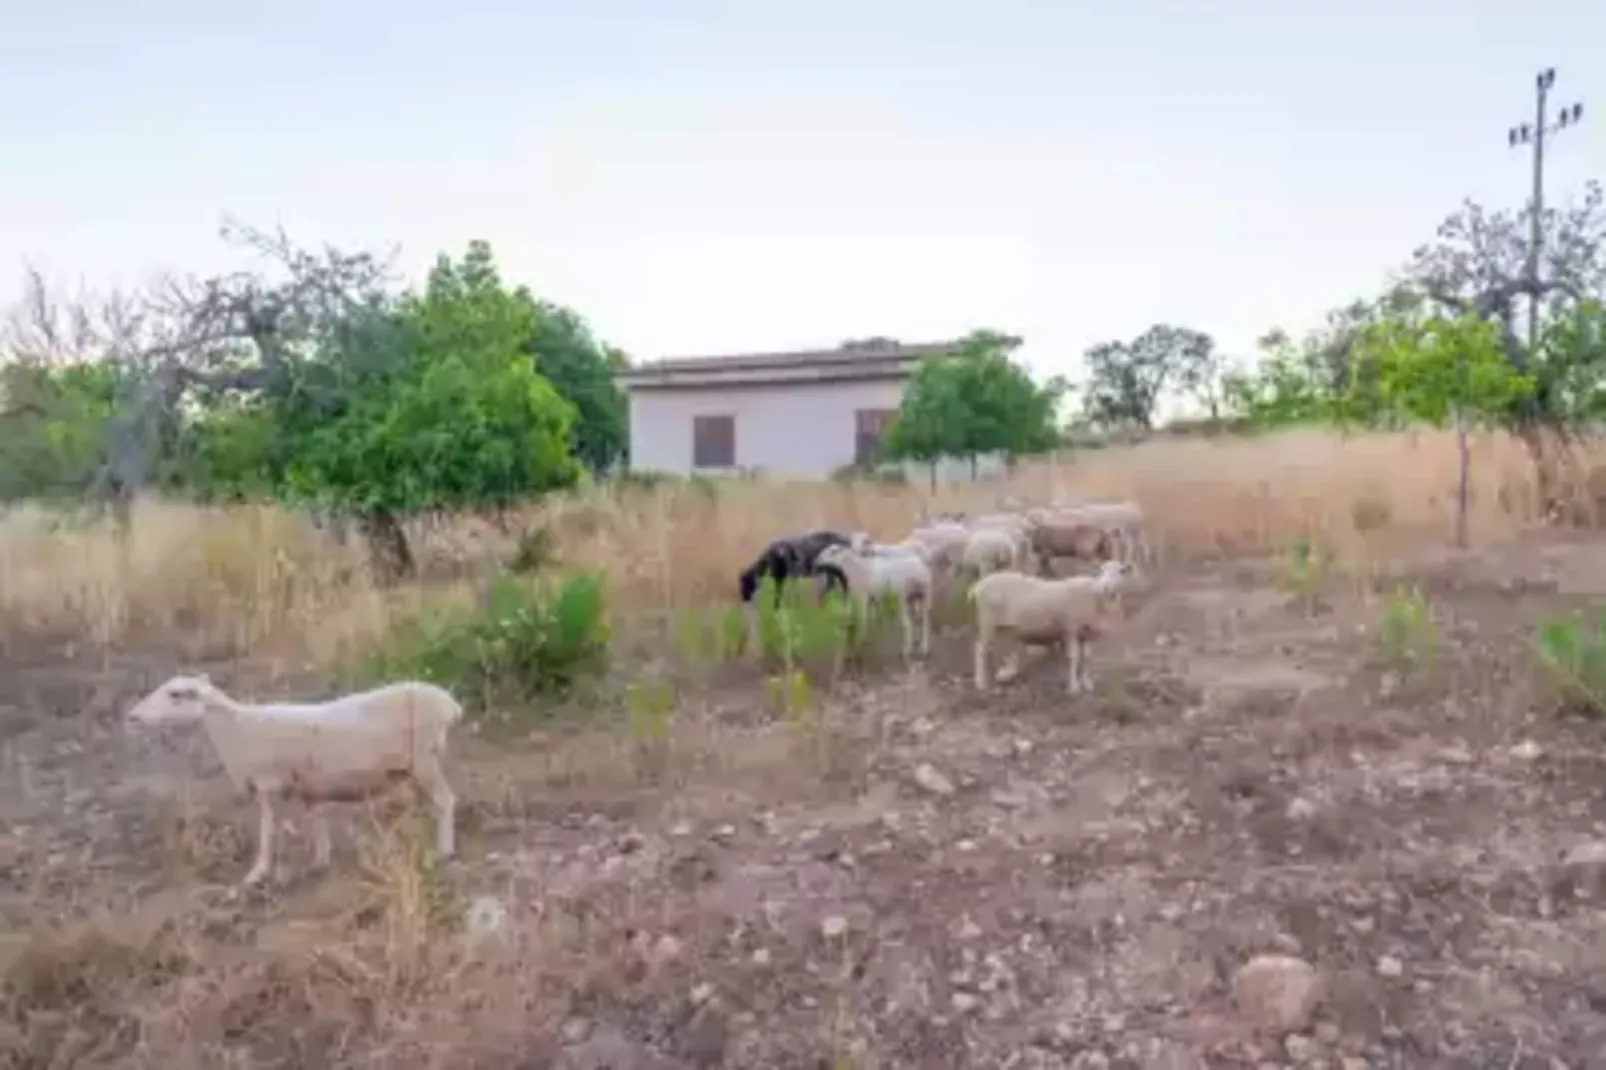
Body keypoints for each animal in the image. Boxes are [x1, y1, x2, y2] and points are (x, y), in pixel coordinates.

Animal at [125, 674, 465, 880]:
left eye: (175, 694)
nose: (132, 716)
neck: (237, 728)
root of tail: (450, 704)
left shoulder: (268, 784)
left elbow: (267, 831)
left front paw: (257, 874)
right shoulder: (308, 788)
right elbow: (316, 822)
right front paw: (320, 862)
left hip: (425, 760)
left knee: (446, 801)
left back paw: (444, 852)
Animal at [809, 546, 937, 655]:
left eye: (831, 552)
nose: (815, 563)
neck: (854, 568)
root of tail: (919, 571)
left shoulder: (862, 597)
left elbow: (862, 619)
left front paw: (859, 643)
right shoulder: (871, 598)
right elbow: (870, 616)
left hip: (902, 599)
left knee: (908, 624)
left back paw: (906, 650)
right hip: (923, 596)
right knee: (925, 621)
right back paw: (924, 648)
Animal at [963, 552, 1143, 697]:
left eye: (1121, 572)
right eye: (1101, 571)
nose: (1105, 587)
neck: (1094, 595)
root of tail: (979, 586)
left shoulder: (1086, 633)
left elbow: (1087, 658)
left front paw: (1087, 683)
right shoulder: (1071, 628)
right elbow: (1073, 657)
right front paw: (1074, 687)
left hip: (1000, 626)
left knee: (989, 650)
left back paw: (998, 677)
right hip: (988, 620)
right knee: (980, 649)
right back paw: (981, 683)